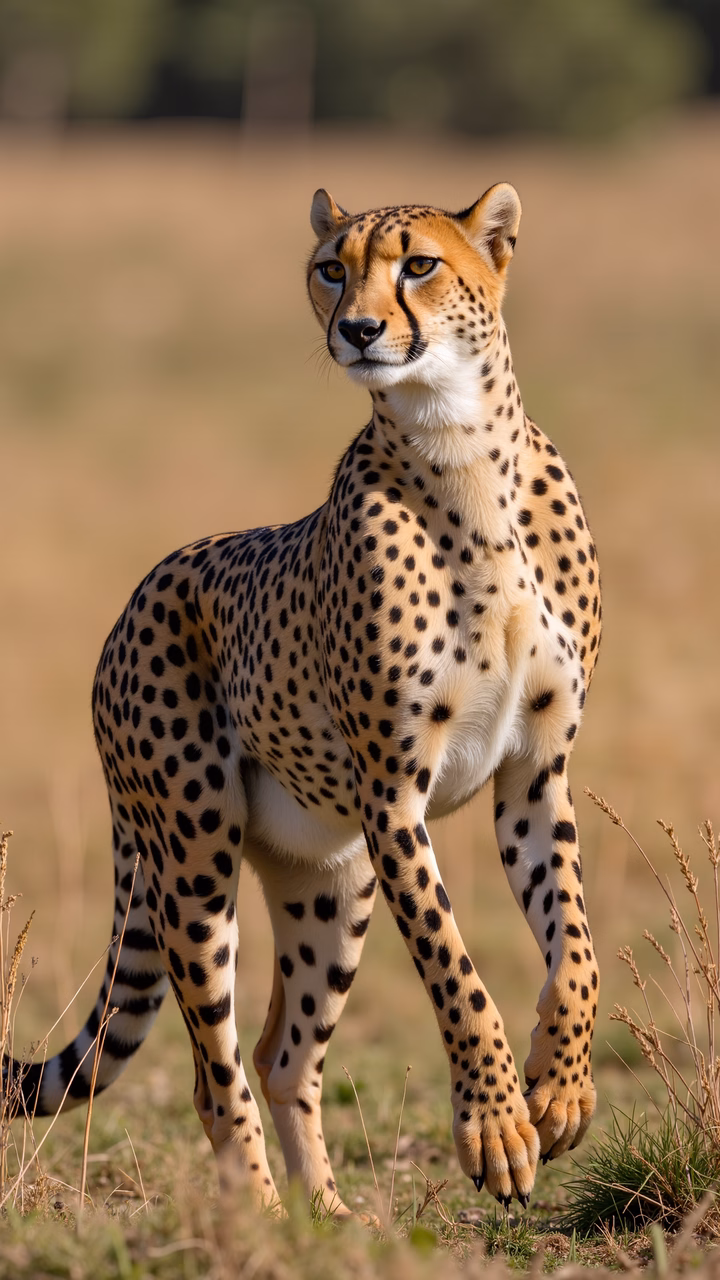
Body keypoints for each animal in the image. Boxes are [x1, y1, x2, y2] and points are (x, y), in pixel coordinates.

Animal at [10, 182, 601, 1215]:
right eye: (332, 267)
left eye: (419, 265)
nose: (358, 327)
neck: (460, 448)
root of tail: (139, 591)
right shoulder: (393, 795)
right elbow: (455, 967)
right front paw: (496, 1123)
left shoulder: (535, 773)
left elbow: (575, 942)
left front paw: (560, 1086)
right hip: (194, 855)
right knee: (217, 1073)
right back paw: (259, 1215)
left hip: (332, 877)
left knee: (285, 1055)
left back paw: (325, 1221)